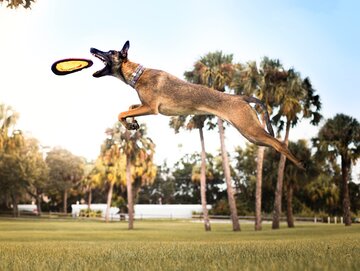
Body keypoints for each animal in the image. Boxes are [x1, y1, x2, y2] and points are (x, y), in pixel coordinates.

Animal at [90, 41, 304, 170]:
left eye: (110, 52)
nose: (92, 49)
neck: (138, 74)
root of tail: (240, 98)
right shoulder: (144, 106)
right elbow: (129, 108)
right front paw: (132, 123)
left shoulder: (151, 108)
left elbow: (120, 112)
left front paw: (129, 122)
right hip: (251, 135)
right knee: (274, 144)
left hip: (250, 129)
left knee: (280, 143)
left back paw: (300, 165)